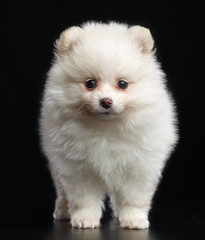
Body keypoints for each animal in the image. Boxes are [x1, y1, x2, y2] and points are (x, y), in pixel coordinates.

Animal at [39, 21, 178, 230]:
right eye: (90, 83)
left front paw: (134, 219)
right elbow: (84, 199)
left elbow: (133, 198)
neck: (106, 128)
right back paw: (62, 211)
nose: (106, 101)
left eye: (123, 84)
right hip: (57, 165)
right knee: (62, 192)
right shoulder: (77, 168)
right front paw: (85, 219)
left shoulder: (138, 167)